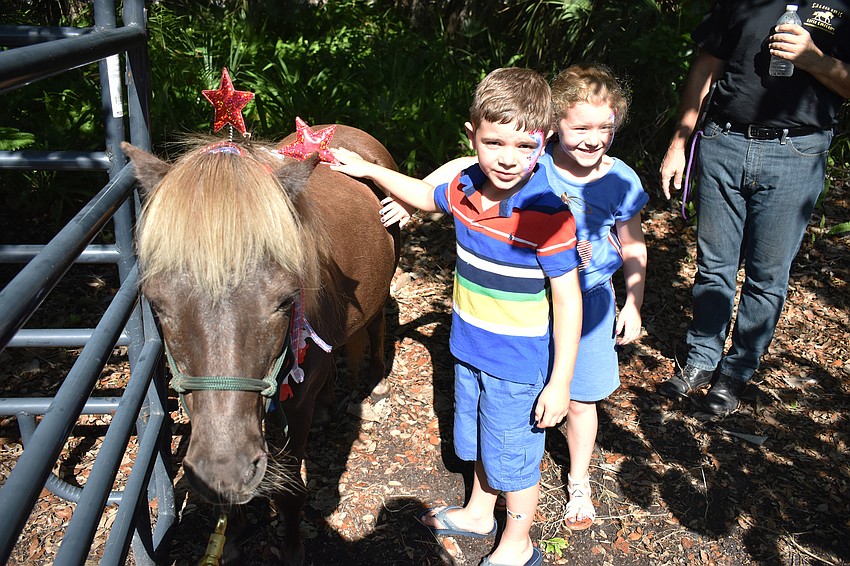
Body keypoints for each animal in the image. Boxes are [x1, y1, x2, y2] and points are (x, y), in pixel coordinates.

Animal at [121, 125, 400, 565]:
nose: (225, 472)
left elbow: (289, 490)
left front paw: (291, 548)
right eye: (157, 303)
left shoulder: (295, 406)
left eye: (285, 300)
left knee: (375, 327)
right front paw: (233, 534)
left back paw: (375, 383)